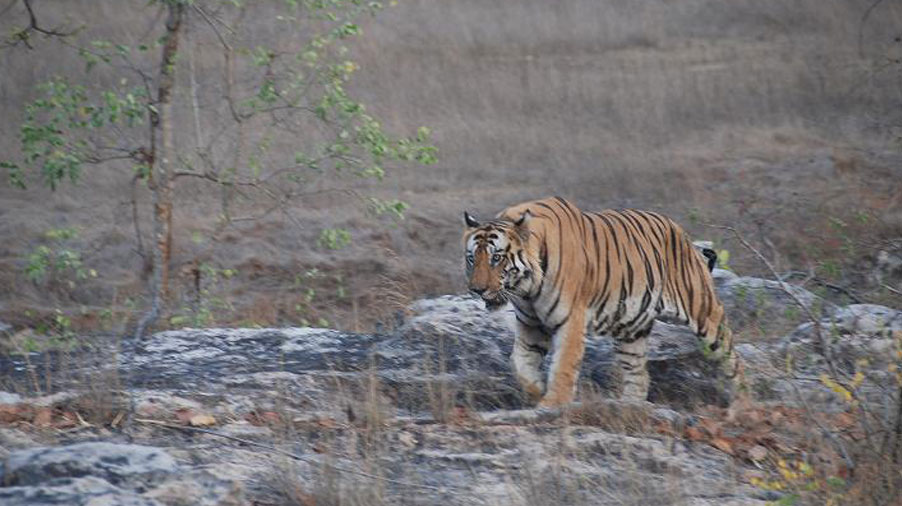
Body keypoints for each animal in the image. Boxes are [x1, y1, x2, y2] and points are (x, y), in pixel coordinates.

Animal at [462, 197, 744, 408]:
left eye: (496, 258)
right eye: (471, 258)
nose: (477, 289)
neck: (527, 290)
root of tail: (682, 233)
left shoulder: (570, 321)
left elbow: (563, 365)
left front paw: (553, 403)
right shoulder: (531, 325)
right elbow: (521, 363)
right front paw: (537, 391)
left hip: (705, 313)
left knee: (734, 361)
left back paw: (743, 408)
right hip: (632, 332)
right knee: (639, 375)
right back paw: (630, 407)